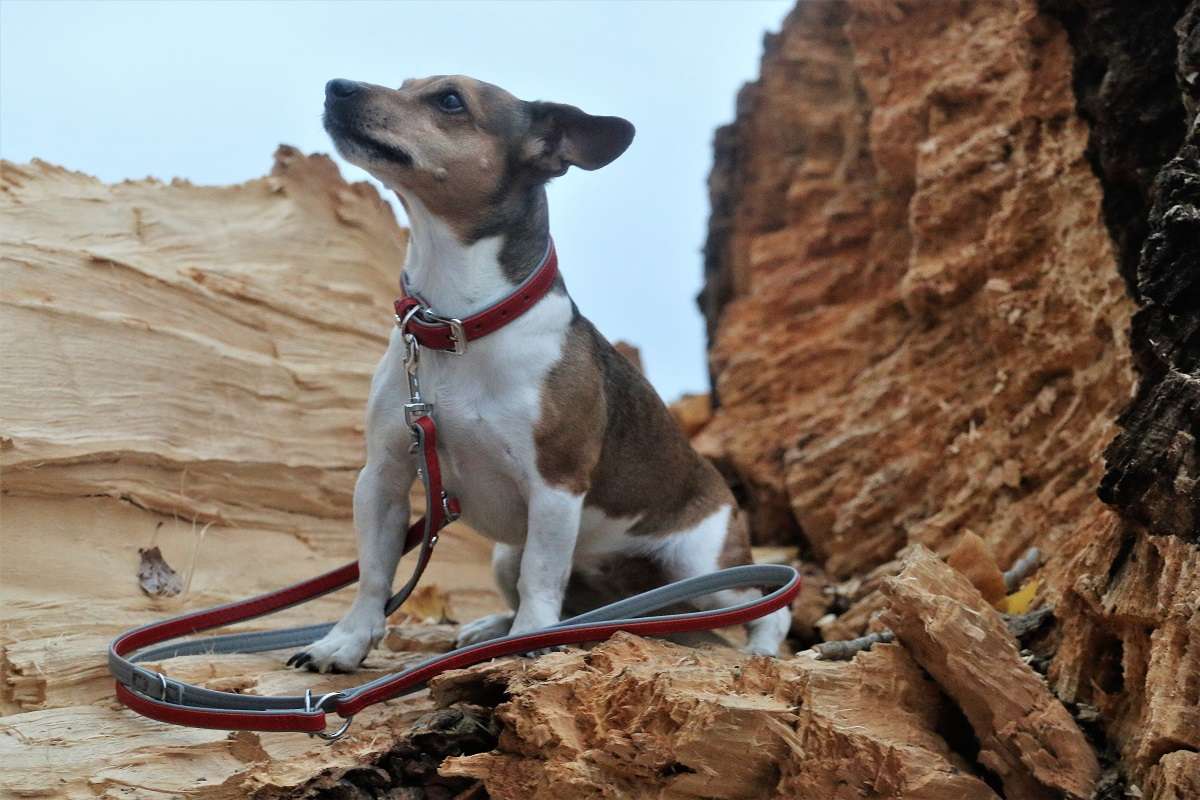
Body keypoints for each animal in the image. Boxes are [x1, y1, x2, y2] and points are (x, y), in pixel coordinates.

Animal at [291, 76, 792, 676]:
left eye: (450, 100)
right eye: (408, 84)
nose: (336, 86)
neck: (457, 325)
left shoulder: (555, 485)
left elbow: (542, 577)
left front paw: (529, 640)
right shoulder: (384, 477)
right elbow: (373, 573)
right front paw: (345, 643)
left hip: (705, 571)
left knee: (769, 603)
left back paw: (762, 649)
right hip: (507, 554)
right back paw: (494, 629)